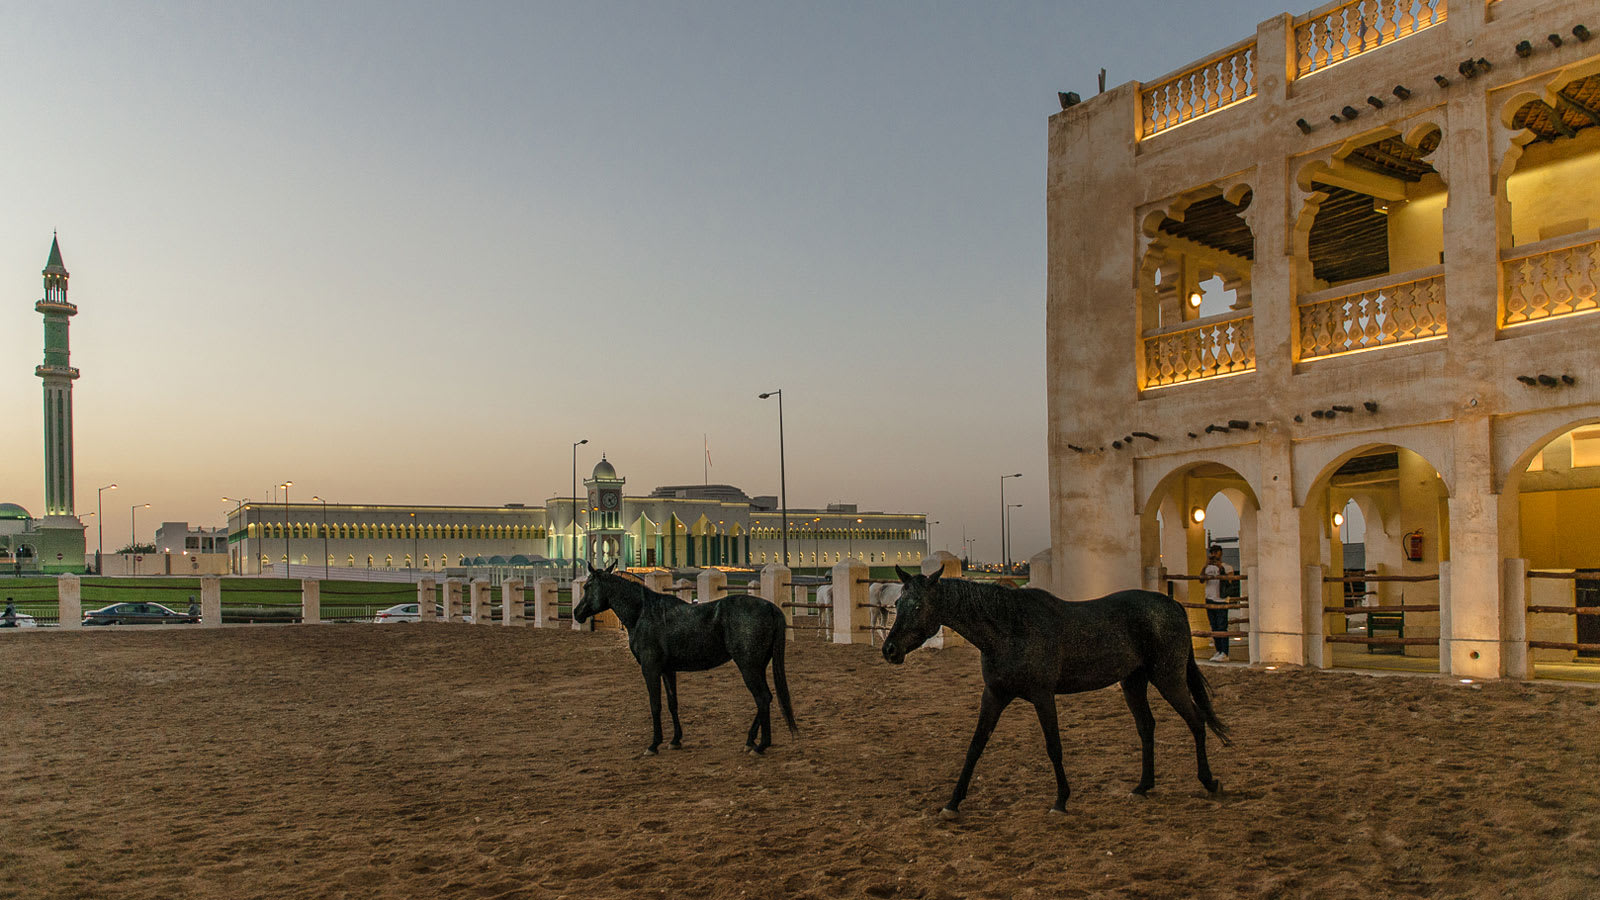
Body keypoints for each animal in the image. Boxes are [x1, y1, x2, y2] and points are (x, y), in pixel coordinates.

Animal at [576, 563, 800, 752]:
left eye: (587, 586)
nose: (577, 613)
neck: (643, 614)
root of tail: (771, 607)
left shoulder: (650, 668)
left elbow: (655, 705)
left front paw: (654, 744)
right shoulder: (667, 669)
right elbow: (672, 703)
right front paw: (675, 740)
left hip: (749, 667)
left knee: (762, 698)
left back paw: (761, 745)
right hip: (757, 666)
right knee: (766, 698)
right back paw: (750, 740)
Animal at [883, 566, 1228, 813]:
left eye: (918, 605)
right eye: (897, 603)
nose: (889, 649)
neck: (1010, 629)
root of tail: (1174, 605)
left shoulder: (1042, 696)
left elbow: (1054, 747)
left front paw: (1061, 801)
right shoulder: (994, 695)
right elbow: (975, 746)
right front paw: (953, 802)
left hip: (1168, 679)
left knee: (1196, 721)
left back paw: (1209, 782)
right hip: (1133, 682)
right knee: (1147, 727)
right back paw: (1143, 786)